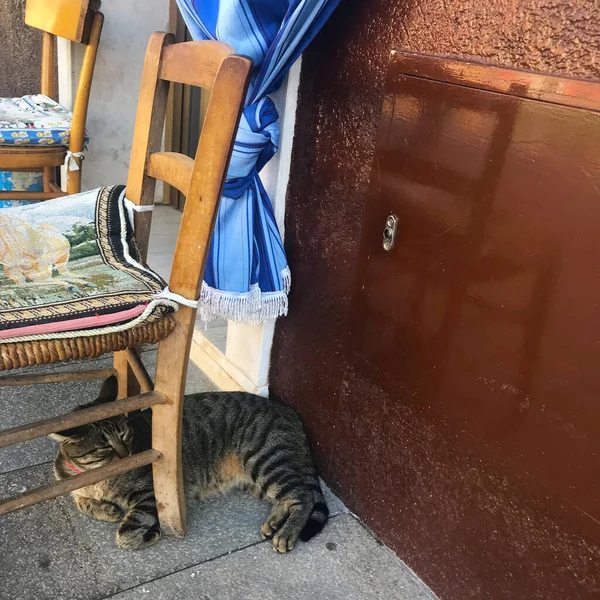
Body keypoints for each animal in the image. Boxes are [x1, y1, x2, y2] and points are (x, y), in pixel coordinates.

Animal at [51, 376, 328, 552]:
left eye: (125, 434)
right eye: (104, 446)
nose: (125, 455)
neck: (94, 476)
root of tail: (288, 410)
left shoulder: (151, 493)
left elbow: (126, 534)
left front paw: (148, 534)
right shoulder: (73, 487)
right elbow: (80, 501)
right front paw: (104, 509)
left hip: (264, 459)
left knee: (303, 497)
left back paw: (286, 532)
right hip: (256, 478)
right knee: (288, 497)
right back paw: (274, 522)